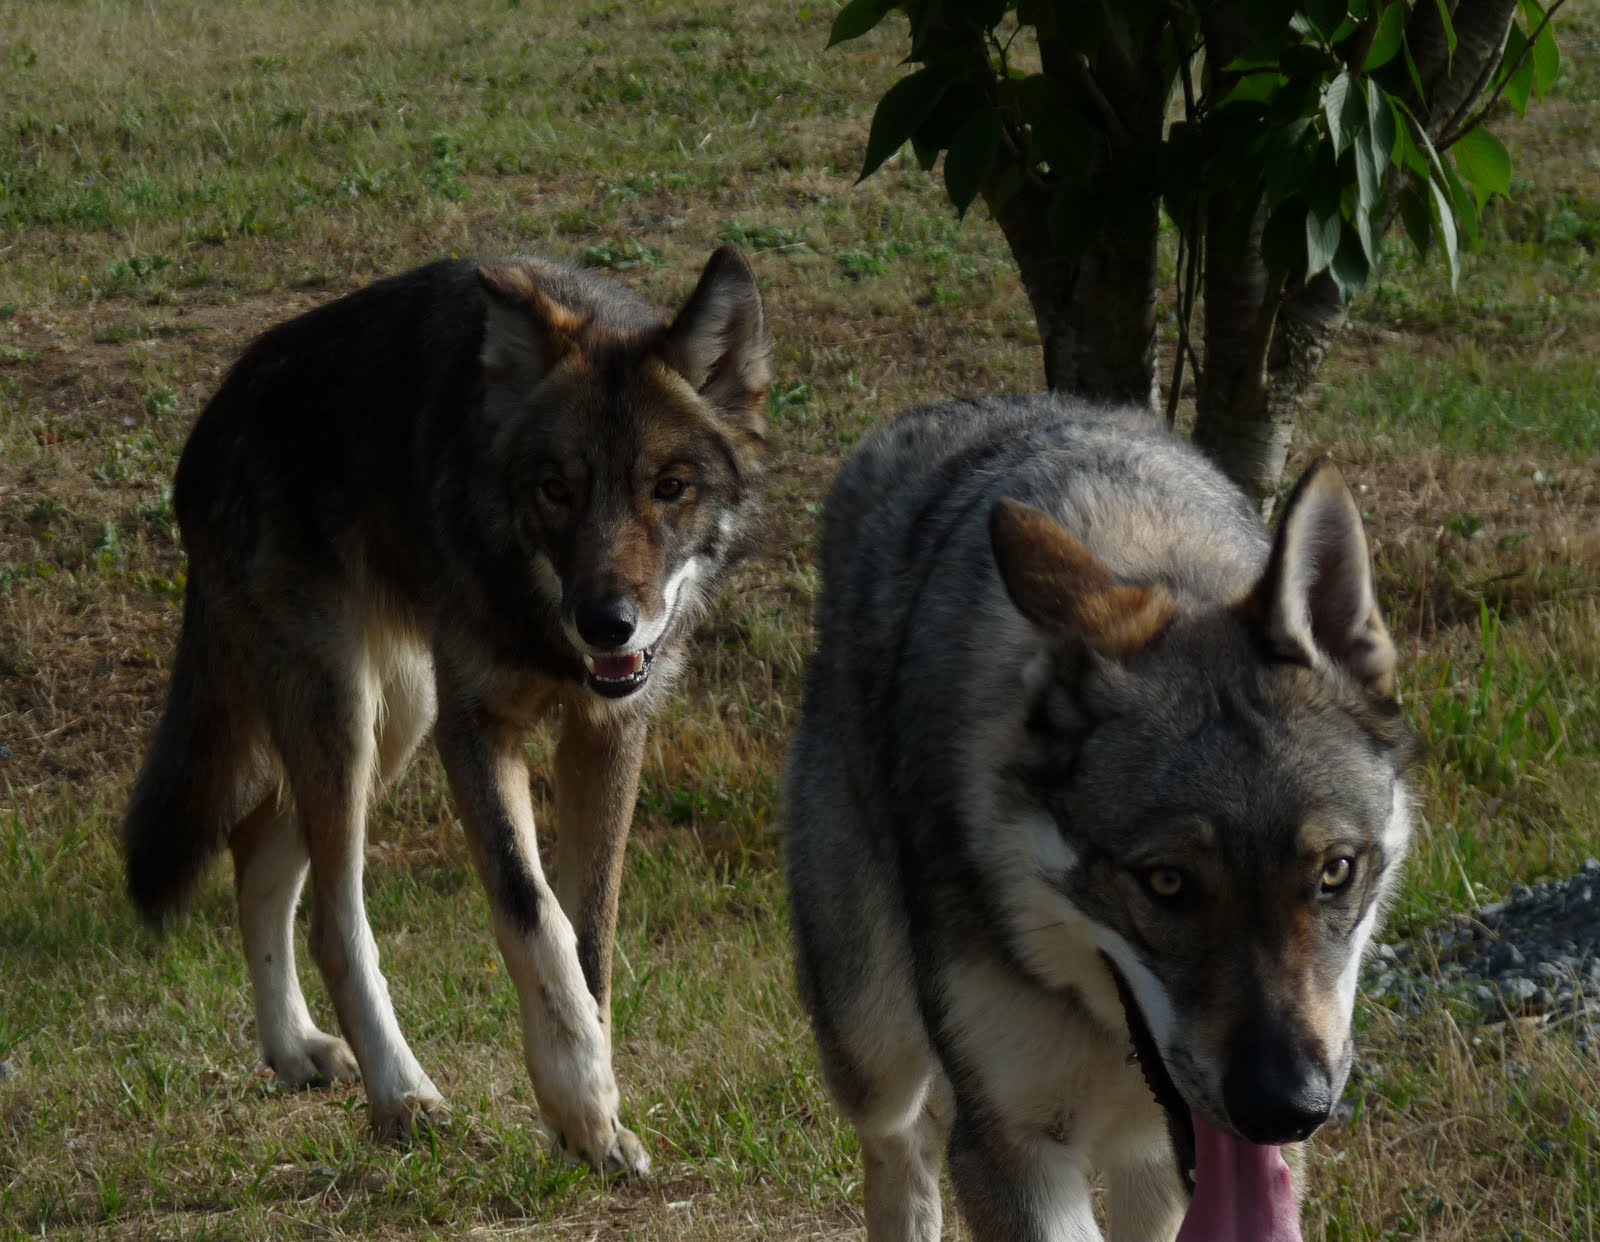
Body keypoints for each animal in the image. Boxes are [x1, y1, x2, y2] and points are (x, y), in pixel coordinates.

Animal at [122, 246, 772, 1177]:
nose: (605, 622)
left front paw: (590, 1111)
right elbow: (533, 914)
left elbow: (590, 938)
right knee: (332, 920)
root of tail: (209, 422)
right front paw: (580, 1101)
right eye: (556, 490)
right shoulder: (476, 728)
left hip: (391, 723)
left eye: (670, 486)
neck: (540, 617)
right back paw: (400, 1095)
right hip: (353, 713)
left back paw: (294, 1049)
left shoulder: (610, 729)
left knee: (257, 847)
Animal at [784, 395, 1417, 1241]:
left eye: (1335, 873)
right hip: (870, 1042)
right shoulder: (1011, 1144)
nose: (1285, 1108)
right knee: (901, 1141)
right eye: (1167, 883)